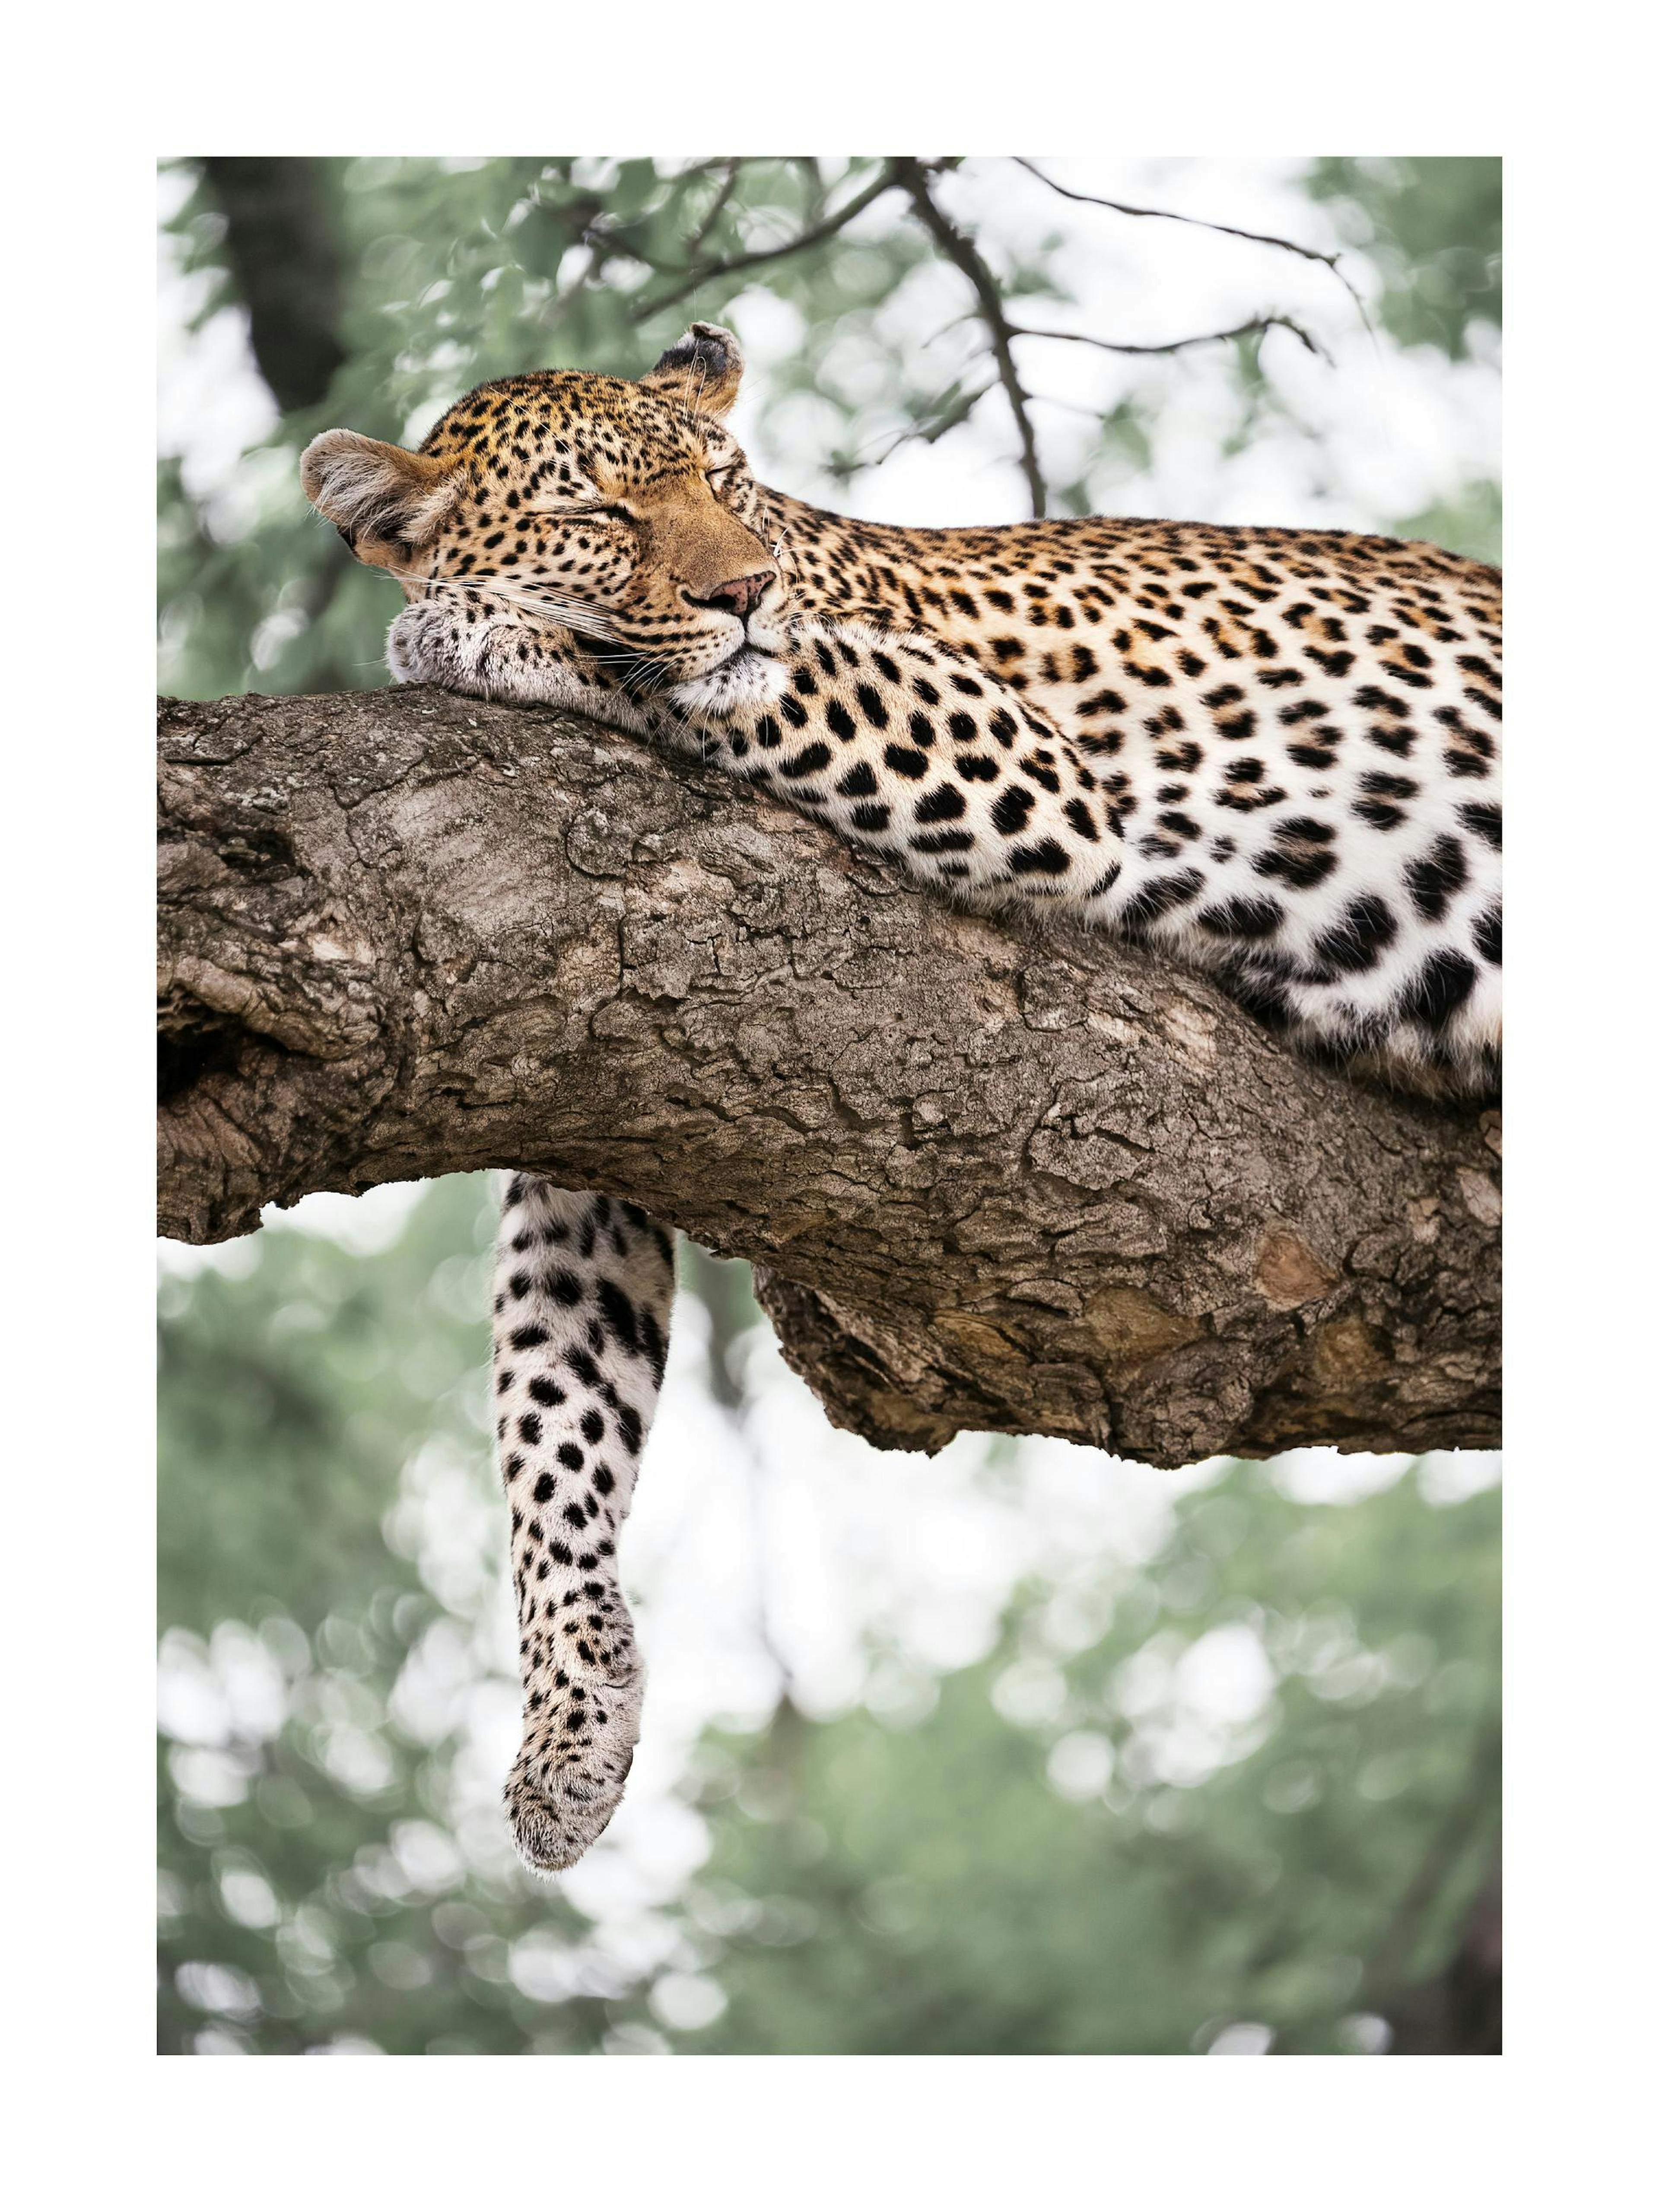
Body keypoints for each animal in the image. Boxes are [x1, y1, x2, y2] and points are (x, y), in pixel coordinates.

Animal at [301, 321, 1501, 1875]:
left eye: (725, 483)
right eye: (599, 514)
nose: (742, 590)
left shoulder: (1022, 765)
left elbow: (695, 675)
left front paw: (470, 629)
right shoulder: (596, 1092)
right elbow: (551, 1414)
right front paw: (570, 1725)